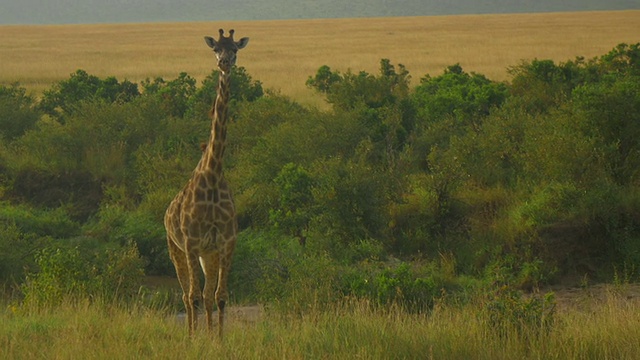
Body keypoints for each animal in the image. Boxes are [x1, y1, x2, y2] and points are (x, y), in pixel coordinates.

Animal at [164, 28, 249, 338]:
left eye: (235, 49)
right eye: (215, 50)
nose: (224, 63)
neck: (212, 175)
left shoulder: (226, 243)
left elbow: (220, 296)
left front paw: (219, 340)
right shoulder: (190, 244)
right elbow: (195, 296)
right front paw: (193, 339)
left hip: (207, 255)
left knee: (208, 295)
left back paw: (209, 332)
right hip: (175, 249)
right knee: (186, 295)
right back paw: (191, 333)